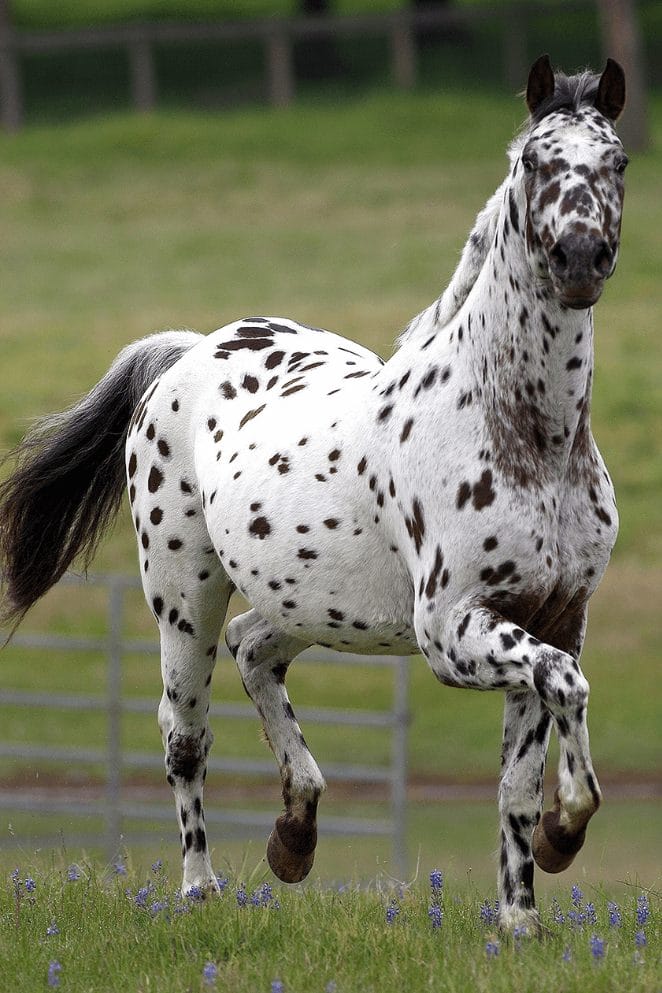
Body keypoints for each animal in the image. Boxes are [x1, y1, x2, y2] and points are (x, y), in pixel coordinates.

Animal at [0, 55, 627, 933]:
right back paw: (201, 888)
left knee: (254, 648)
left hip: (310, 605)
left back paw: (294, 835)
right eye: (534, 162)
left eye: (619, 162)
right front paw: (566, 832)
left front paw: (521, 917)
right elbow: (565, 691)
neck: (523, 435)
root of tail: (189, 351)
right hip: (184, 599)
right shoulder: (451, 630)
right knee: (184, 732)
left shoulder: (554, 618)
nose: (579, 258)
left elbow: (517, 779)